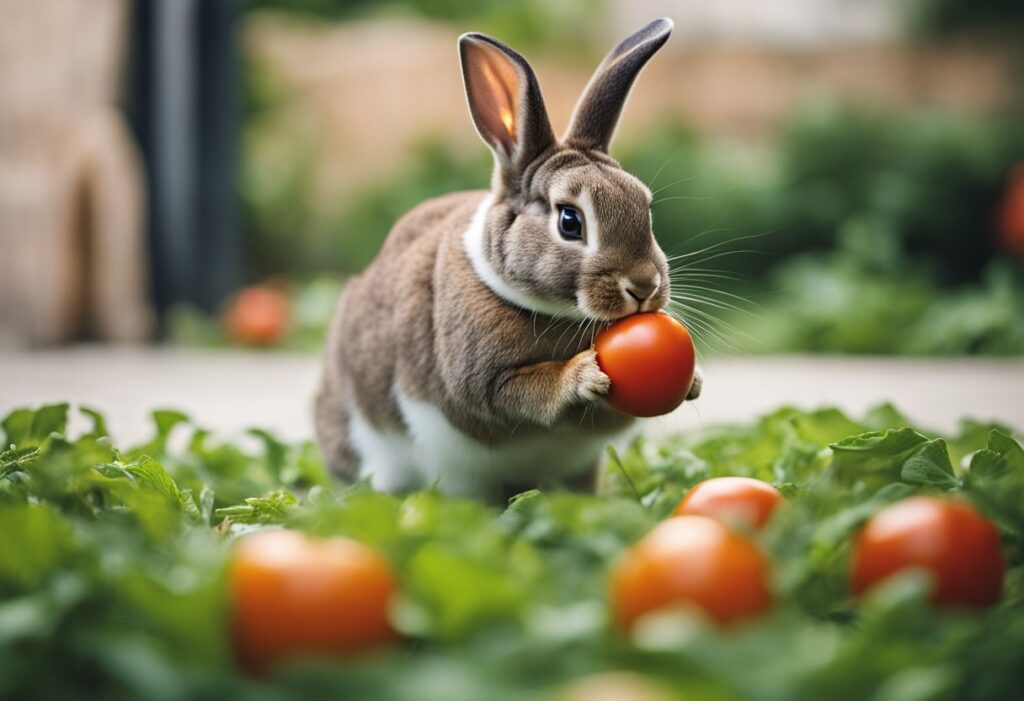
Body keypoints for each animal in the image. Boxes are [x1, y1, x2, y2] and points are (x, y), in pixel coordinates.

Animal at [317, 16, 704, 497]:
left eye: (644, 208)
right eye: (570, 221)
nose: (644, 286)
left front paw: (693, 382)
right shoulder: (483, 380)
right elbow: (521, 392)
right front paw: (582, 375)